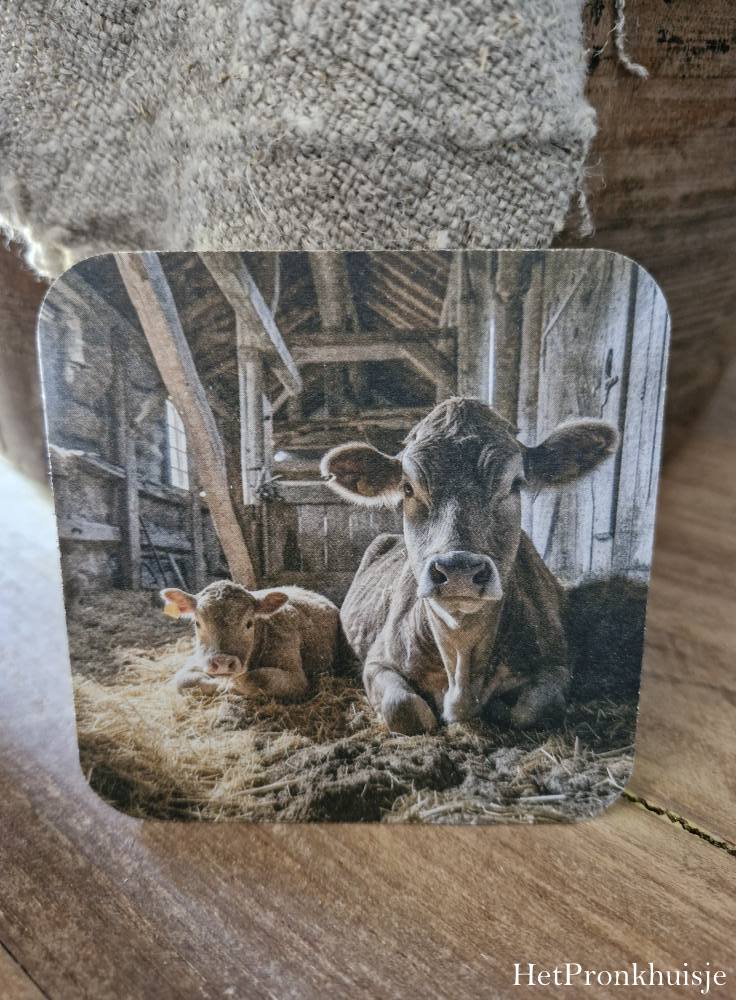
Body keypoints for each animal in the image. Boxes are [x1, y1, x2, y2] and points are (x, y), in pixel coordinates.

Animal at [161, 582, 342, 700]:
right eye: (198, 623)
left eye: (249, 623)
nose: (223, 662)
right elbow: (183, 681)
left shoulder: (296, 677)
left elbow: (257, 677)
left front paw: (229, 685)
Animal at [321, 397, 618, 736]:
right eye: (407, 488)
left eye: (515, 484)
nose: (458, 570)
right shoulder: (378, 660)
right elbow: (404, 707)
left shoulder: (556, 663)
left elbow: (532, 711)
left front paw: (500, 709)